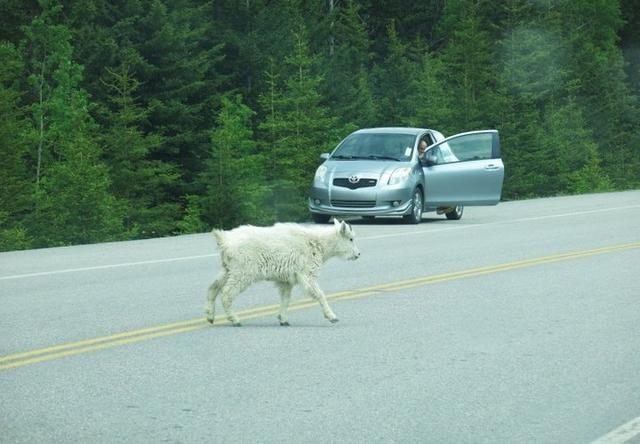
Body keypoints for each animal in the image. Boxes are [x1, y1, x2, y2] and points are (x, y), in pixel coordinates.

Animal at [206, 219, 360, 326]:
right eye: (351, 238)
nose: (358, 254)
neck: (319, 245)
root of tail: (224, 241)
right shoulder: (307, 274)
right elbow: (320, 294)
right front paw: (332, 317)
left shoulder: (286, 280)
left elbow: (286, 299)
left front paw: (283, 319)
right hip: (242, 271)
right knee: (227, 293)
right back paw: (235, 319)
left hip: (228, 269)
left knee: (213, 287)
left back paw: (210, 317)